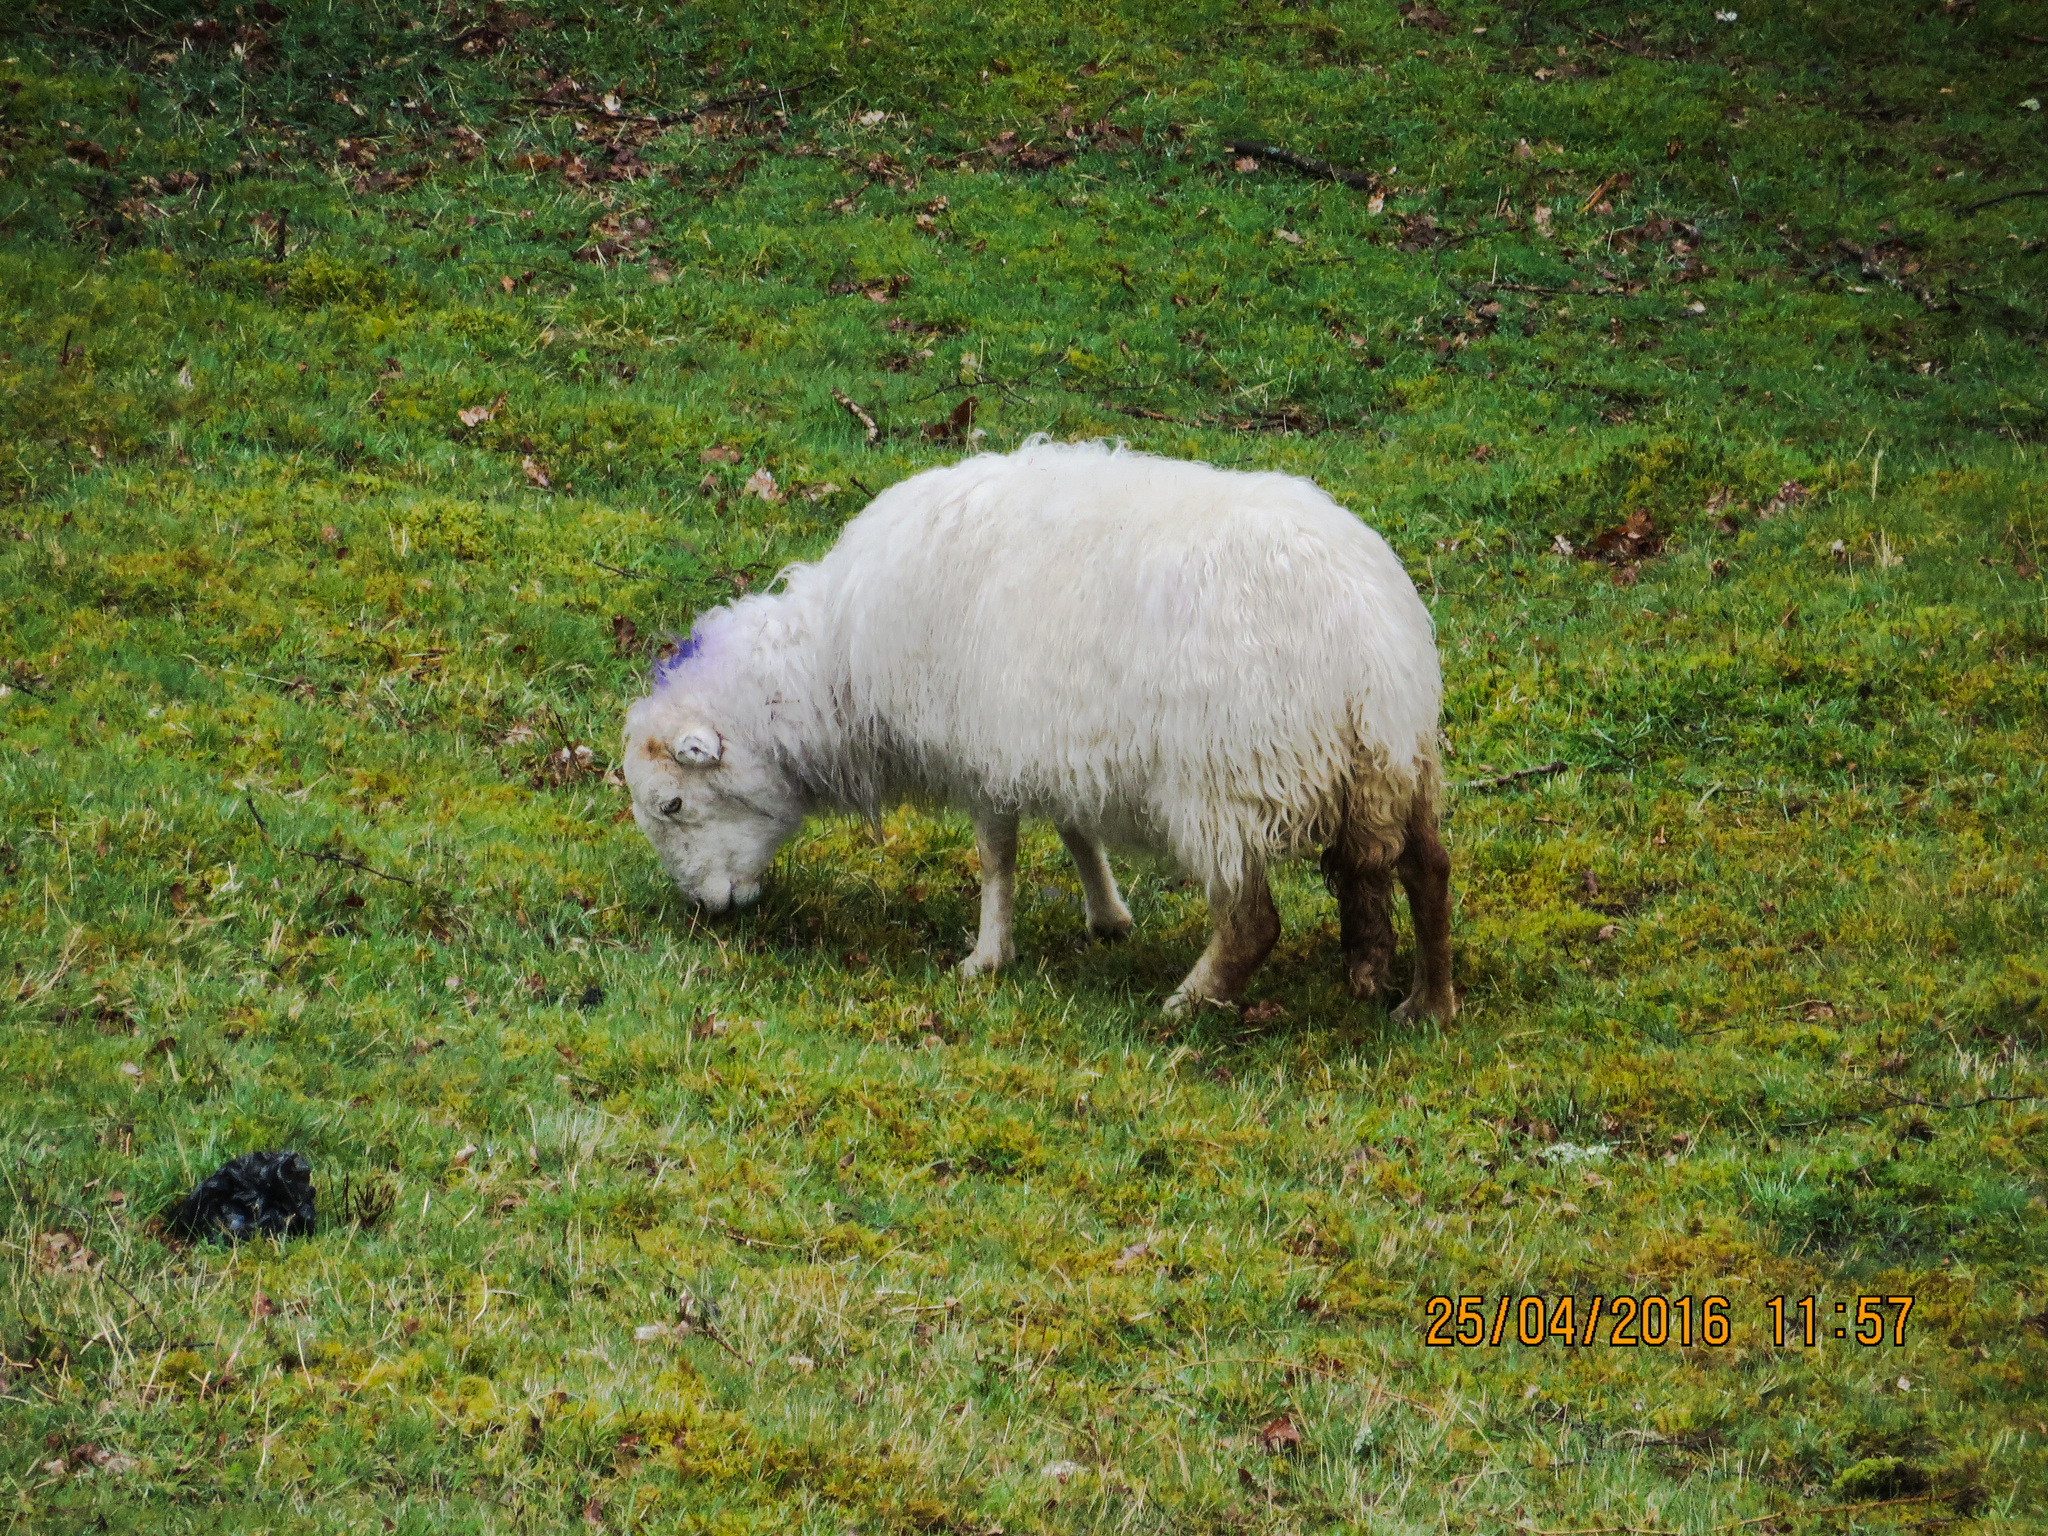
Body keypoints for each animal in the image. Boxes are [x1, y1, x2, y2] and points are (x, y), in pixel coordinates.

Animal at [622, 436, 1458, 1024]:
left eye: (672, 804)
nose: (707, 911)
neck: (833, 669)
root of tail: (1366, 639)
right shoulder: (1048, 738)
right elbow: (1075, 830)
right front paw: (1108, 915)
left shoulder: (984, 748)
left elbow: (998, 859)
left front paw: (987, 958)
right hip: (1400, 762)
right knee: (1427, 871)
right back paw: (1426, 1001)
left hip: (1226, 778)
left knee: (1254, 920)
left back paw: (1188, 1002)